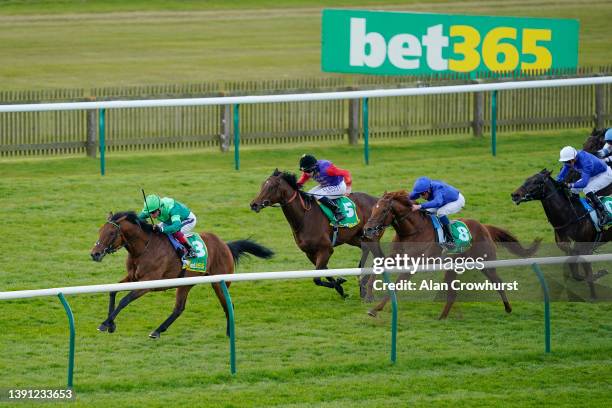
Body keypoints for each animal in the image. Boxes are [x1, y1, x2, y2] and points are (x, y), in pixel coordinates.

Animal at [89, 212, 274, 340]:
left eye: (111, 233)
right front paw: (110, 324)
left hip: (219, 282)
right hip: (185, 284)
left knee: (228, 305)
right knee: (179, 309)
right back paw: (157, 331)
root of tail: (225, 245)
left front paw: (104, 324)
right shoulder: (133, 278)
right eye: (100, 230)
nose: (95, 254)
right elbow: (113, 291)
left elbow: (124, 300)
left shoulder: (148, 283)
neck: (144, 248)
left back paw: (230, 333)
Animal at [249, 170, 382, 300]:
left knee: (378, 257)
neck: (304, 217)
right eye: (262, 185)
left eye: (271, 186)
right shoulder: (309, 253)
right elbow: (325, 274)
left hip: (371, 237)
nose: (254, 204)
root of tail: (376, 200)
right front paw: (340, 287)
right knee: (366, 250)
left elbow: (317, 278)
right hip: (354, 238)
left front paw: (339, 283)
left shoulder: (326, 250)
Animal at [364, 191, 540, 318]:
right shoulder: (396, 257)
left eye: (384, 210)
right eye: (372, 209)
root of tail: (484, 227)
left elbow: (396, 285)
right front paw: (368, 292)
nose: (368, 229)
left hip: (486, 263)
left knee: (498, 282)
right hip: (453, 267)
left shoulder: (414, 264)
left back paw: (508, 308)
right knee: (453, 293)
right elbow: (378, 264)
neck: (413, 231)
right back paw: (442, 317)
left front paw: (375, 309)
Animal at [512, 167, 612, 298]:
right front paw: (599, 274)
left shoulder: (585, 249)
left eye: (536, 181)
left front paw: (594, 296)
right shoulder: (569, 250)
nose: (515, 195)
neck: (570, 216)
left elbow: (588, 275)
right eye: (526, 179)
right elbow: (577, 275)